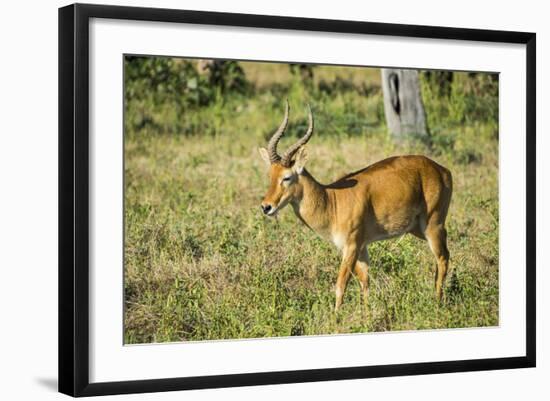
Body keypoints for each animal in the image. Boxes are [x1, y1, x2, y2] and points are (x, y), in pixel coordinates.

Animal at [260, 101, 454, 310]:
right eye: (270, 175)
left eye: (287, 177)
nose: (266, 206)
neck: (332, 201)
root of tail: (442, 170)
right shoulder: (362, 247)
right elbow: (365, 283)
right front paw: (366, 314)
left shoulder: (351, 246)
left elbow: (340, 285)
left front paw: (336, 317)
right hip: (417, 228)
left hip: (433, 224)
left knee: (443, 257)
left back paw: (437, 304)